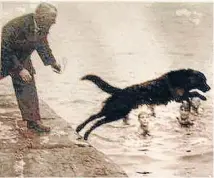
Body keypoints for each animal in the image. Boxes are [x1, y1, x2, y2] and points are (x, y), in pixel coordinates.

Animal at [76, 69, 210, 140]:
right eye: (203, 80)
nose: (209, 88)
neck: (183, 79)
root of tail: (120, 91)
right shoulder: (178, 96)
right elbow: (193, 92)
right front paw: (202, 97)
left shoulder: (180, 96)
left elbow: (190, 95)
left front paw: (192, 103)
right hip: (116, 113)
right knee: (96, 120)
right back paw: (84, 133)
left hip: (113, 111)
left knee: (95, 117)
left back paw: (81, 130)